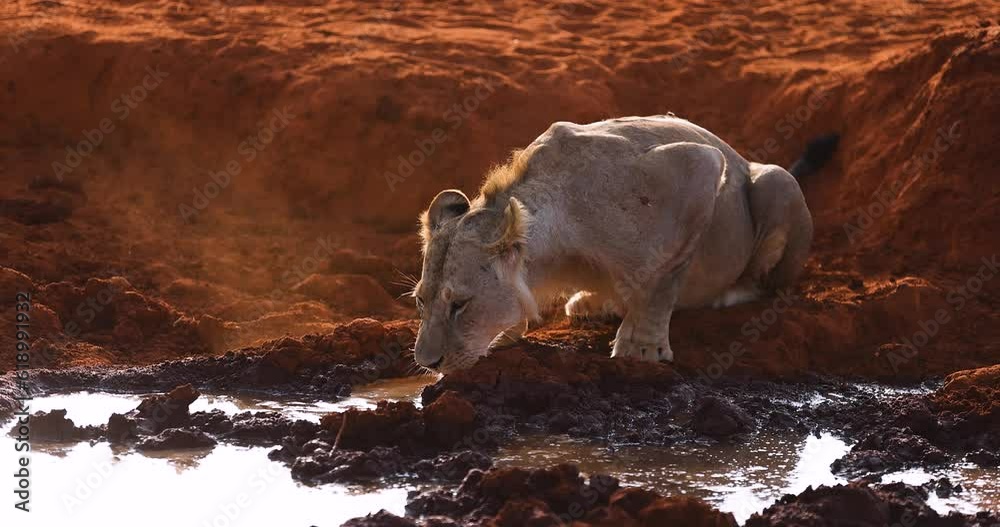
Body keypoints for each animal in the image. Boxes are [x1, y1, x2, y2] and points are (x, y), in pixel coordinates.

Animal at [410, 115, 840, 372]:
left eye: (460, 304)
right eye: (420, 301)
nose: (427, 363)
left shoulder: (695, 169)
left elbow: (663, 278)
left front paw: (641, 346)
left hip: (777, 181)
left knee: (769, 283)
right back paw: (593, 302)